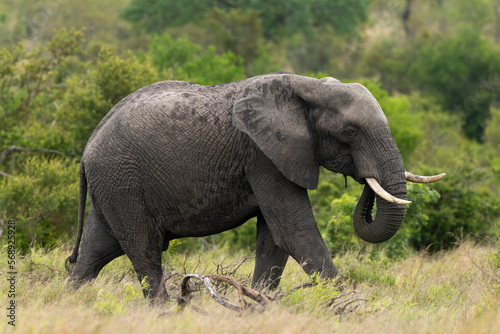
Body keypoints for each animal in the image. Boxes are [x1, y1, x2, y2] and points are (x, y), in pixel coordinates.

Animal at [64, 72, 444, 302]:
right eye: (349, 132)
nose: (365, 177)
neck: (310, 87)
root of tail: (87, 147)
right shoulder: (262, 154)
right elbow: (294, 231)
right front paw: (350, 308)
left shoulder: (270, 157)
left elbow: (274, 239)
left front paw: (260, 304)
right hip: (122, 180)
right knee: (144, 249)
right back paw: (164, 312)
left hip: (113, 185)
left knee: (95, 253)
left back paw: (72, 302)